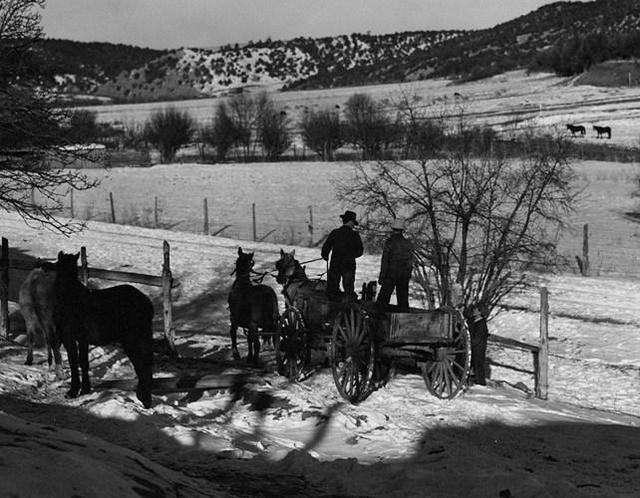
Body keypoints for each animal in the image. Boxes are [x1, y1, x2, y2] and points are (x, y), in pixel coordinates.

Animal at [54, 253, 155, 408]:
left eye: (72, 271)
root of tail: (146, 303)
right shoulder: (82, 340)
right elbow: (83, 362)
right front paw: (85, 390)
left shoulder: (70, 338)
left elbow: (74, 363)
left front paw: (73, 392)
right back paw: (144, 398)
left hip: (132, 340)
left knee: (142, 364)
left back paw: (144, 399)